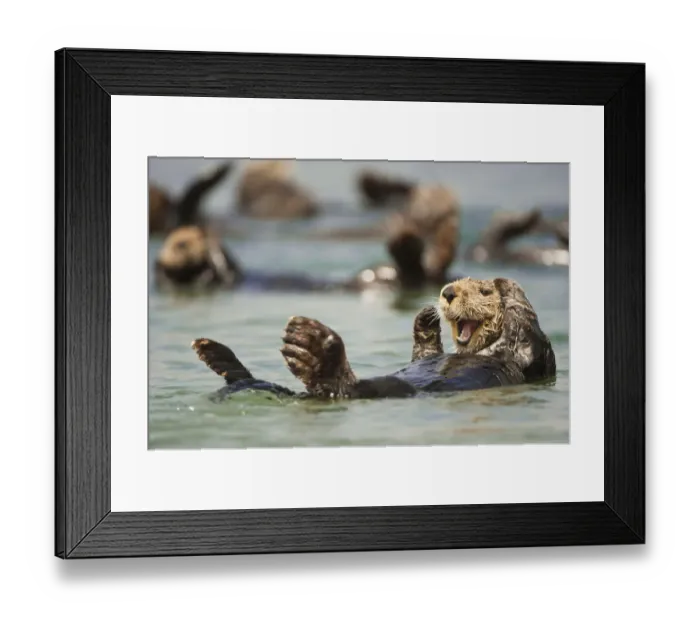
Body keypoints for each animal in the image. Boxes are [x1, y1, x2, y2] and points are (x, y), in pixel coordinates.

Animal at [191, 277, 556, 400]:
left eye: (481, 292)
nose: (448, 292)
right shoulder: (425, 354)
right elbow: (424, 351)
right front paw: (425, 316)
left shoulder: (526, 356)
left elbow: (526, 334)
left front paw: (508, 292)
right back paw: (216, 354)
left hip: (379, 389)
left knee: (343, 386)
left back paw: (310, 347)